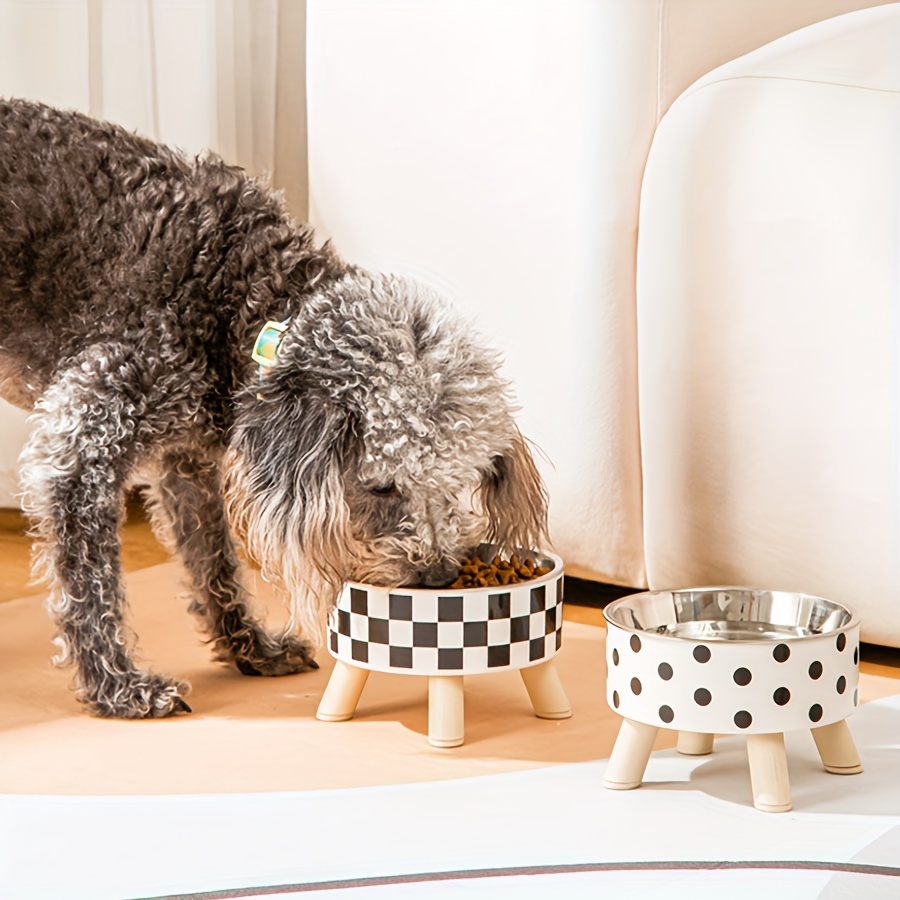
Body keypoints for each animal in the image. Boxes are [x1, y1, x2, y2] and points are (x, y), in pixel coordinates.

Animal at [0, 98, 548, 716]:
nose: (435, 574)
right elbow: (89, 583)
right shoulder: (79, 446)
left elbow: (212, 561)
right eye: (381, 487)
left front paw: (249, 647)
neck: (236, 292)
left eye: (455, 484)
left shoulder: (187, 461)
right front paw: (117, 686)